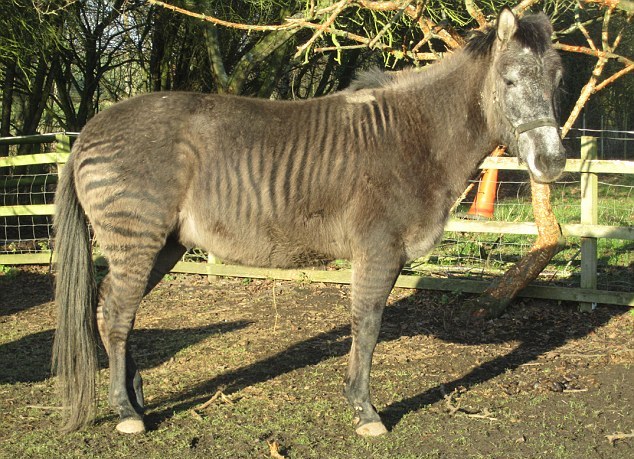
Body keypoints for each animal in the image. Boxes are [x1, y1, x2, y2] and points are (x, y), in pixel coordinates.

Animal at [50, 8, 564, 438]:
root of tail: (89, 131)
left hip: (162, 246)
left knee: (114, 312)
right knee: (116, 314)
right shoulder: (378, 250)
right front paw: (366, 412)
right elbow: (367, 324)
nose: (553, 163)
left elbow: (363, 326)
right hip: (136, 240)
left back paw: (136, 399)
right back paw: (127, 413)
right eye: (510, 80)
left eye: (557, 81)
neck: (415, 136)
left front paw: (357, 403)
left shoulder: (383, 254)